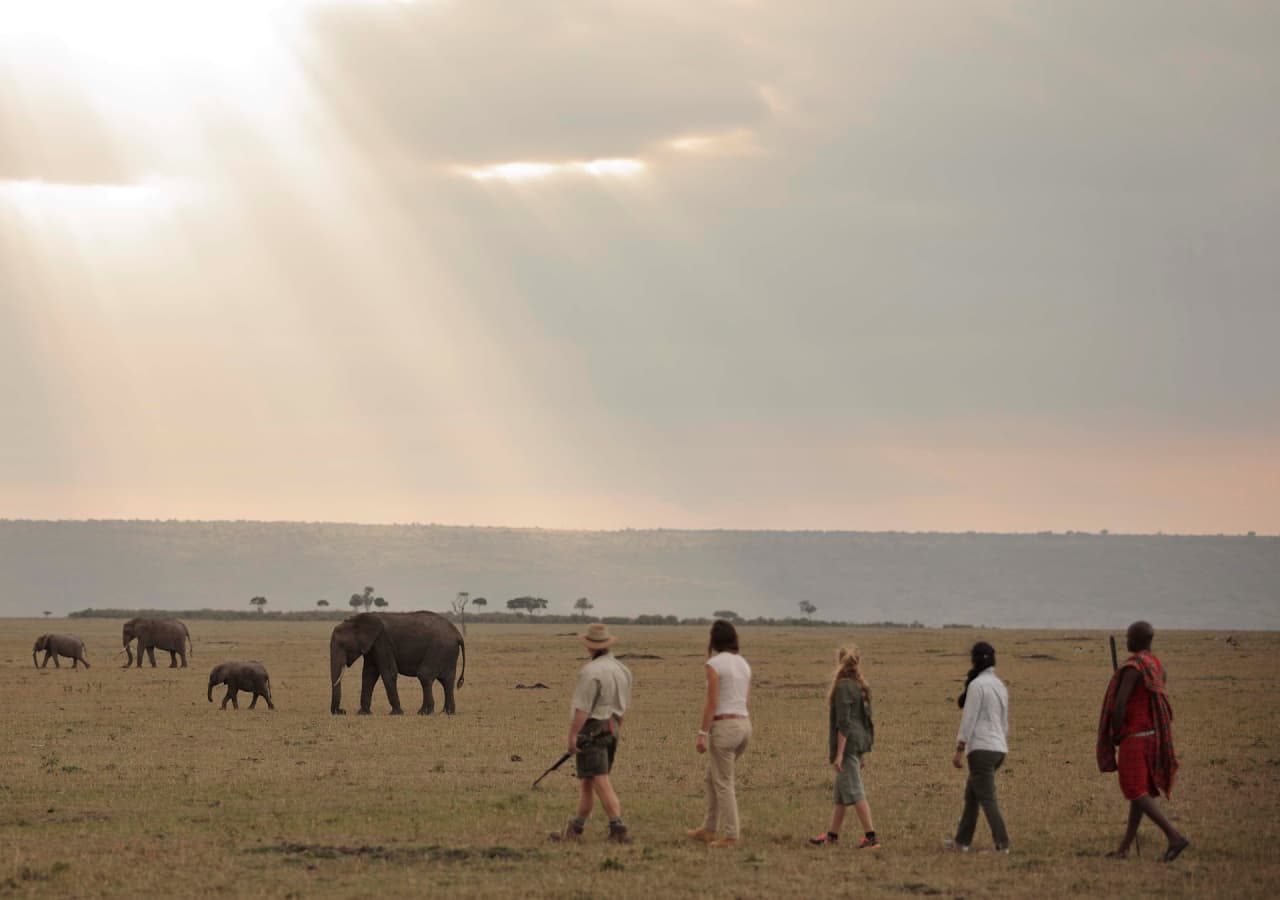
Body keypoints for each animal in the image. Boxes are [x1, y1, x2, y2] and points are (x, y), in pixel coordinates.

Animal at [330, 611, 465, 716]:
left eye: (342, 645)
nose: (342, 711)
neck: (356, 619)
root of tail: (458, 634)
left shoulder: (382, 642)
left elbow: (388, 673)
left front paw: (396, 713)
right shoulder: (372, 646)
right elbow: (369, 675)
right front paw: (363, 713)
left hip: (439, 649)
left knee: (425, 675)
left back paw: (424, 713)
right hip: (447, 653)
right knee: (447, 681)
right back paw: (447, 713)